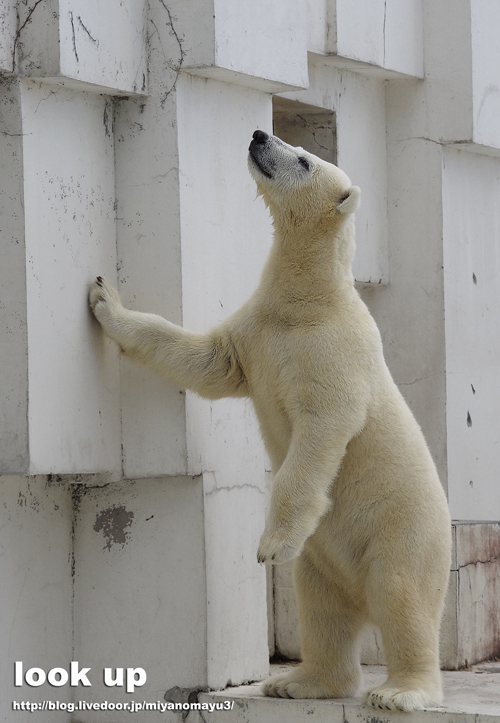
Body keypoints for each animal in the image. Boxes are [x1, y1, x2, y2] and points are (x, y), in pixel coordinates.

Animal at [90, 130, 454, 712]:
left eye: (303, 159)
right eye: (293, 145)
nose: (260, 134)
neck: (308, 302)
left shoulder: (333, 356)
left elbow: (319, 434)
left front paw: (269, 545)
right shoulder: (255, 334)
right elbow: (200, 360)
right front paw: (105, 299)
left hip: (404, 531)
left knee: (403, 599)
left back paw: (400, 692)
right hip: (325, 560)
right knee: (321, 606)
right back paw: (300, 681)